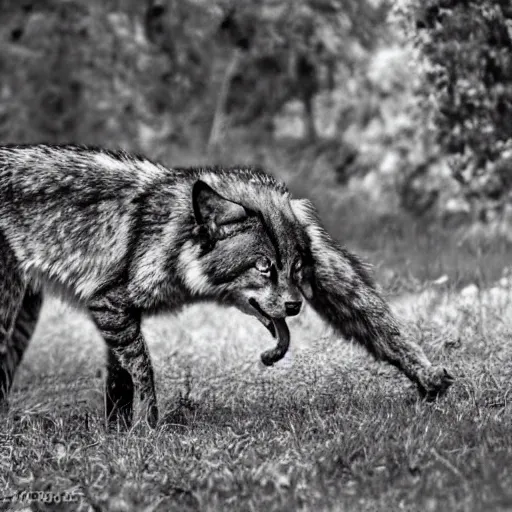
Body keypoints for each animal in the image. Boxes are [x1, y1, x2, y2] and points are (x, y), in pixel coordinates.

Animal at [0, 143, 454, 428]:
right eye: (263, 266)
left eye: (297, 268)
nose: (295, 306)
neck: (174, 237)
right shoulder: (109, 305)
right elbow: (143, 370)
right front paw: (147, 429)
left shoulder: (120, 314)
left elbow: (120, 381)